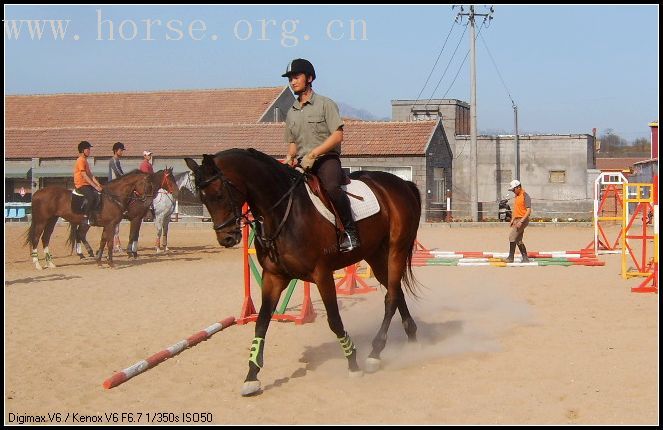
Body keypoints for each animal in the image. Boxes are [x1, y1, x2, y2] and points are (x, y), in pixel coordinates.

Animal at [25, 170, 154, 268]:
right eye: (148, 185)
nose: (148, 202)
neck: (112, 197)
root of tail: (37, 193)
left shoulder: (107, 225)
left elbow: (103, 241)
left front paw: (99, 261)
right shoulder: (112, 224)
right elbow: (110, 243)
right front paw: (111, 263)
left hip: (51, 220)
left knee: (45, 238)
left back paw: (50, 263)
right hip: (42, 221)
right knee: (36, 238)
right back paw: (37, 264)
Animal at [184, 149, 422, 396]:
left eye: (220, 194)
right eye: (202, 198)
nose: (227, 238)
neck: (283, 214)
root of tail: (402, 183)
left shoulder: (322, 274)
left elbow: (334, 320)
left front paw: (352, 363)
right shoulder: (273, 277)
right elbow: (262, 322)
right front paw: (251, 376)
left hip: (396, 249)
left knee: (391, 297)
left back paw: (375, 353)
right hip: (374, 255)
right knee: (396, 293)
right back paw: (412, 338)